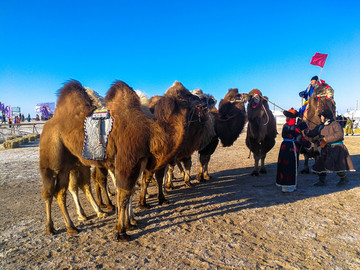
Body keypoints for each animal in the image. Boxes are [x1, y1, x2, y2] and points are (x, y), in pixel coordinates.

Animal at [39, 79, 186, 240]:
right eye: (184, 94)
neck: (151, 130)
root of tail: (47, 125)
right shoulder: (127, 162)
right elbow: (124, 193)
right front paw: (122, 230)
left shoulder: (134, 163)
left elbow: (128, 191)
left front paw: (130, 222)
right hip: (51, 163)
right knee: (48, 192)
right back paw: (51, 227)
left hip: (70, 165)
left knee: (64, 191)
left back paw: (74, 225)